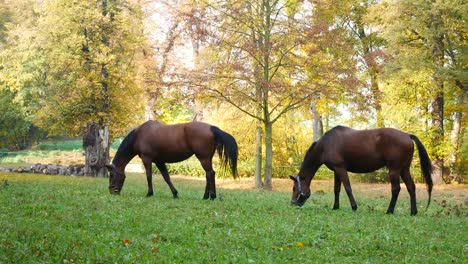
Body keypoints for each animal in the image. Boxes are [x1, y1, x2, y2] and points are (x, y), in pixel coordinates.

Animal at [106, 120, 238, 199]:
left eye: (111, 175)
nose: (112, 191)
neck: (139, 135)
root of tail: (211, 128)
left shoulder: (147, 159)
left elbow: (149, 176)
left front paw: (149, 193)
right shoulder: (159, 161)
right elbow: (166, 177)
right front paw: (175, 194)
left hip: (203, 158)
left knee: (210, 174)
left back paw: (212, 196)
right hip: (207, 158)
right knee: (208, 175)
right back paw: (205, 196)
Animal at [290, 126, 434, 214]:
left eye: (294, 188)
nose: (292, 204)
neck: (326, 145)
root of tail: (407, 136)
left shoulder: (341, 169)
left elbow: (347, 188)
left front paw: (354, 207)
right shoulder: (336, 171)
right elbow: (337, 189)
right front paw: (335, 207)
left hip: (394, 170)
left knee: (396, 189)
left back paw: (389, 211)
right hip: (404, 169)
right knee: (411, 187)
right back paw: (413, 212)